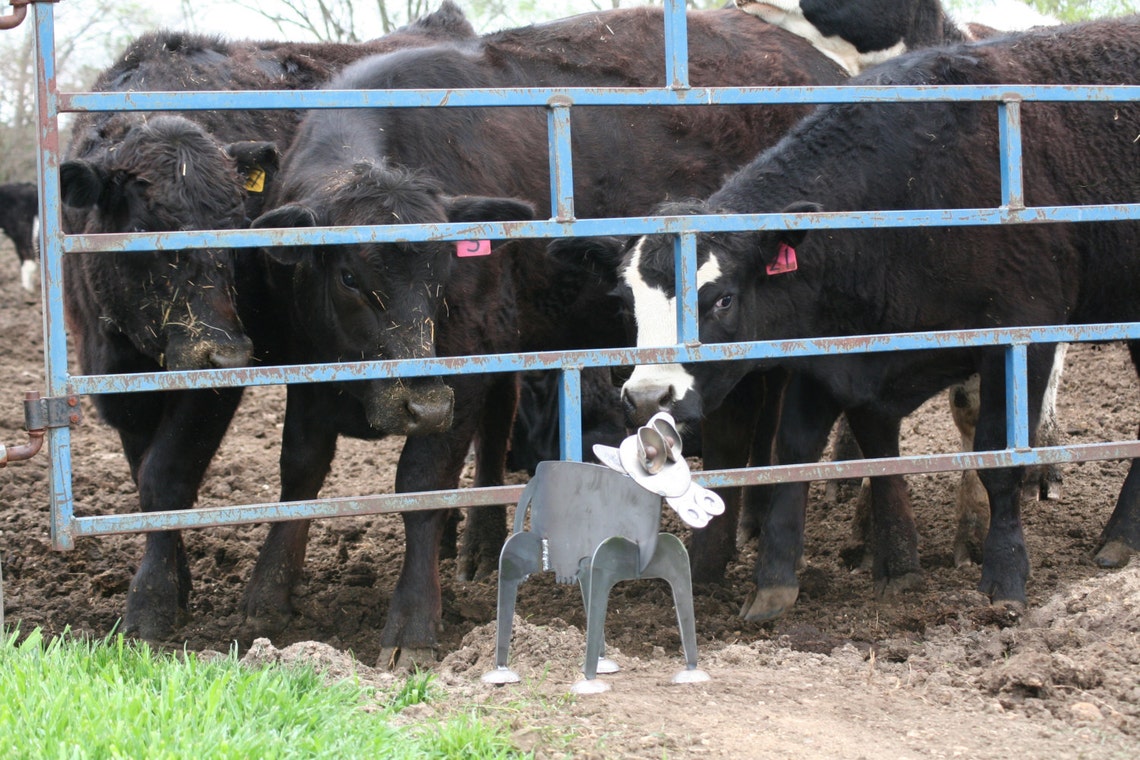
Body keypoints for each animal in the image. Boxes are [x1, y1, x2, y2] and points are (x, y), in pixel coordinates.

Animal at [59, 1, 478, 642]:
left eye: (239, 224)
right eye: (149, 225)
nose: (227, 351)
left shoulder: (212, 386)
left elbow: (166, 477)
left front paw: (150, 605)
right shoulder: (124, 391)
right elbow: (146, 480)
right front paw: (176, 583)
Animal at [248, 5, 850, 665]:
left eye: (443, 273)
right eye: (350, 276)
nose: (421, 403)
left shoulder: (464, 362)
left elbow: (422, 484)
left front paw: (412, 625)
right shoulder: (307, 368)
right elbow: (300, 469)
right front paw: (267, 593)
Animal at [615, 15, 1140, 621]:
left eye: (721, 299)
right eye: (631, 301)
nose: (647, 397)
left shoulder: (1022, 339)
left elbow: (999, 459)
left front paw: (1004, 576)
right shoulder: (839, 356)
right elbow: (810, 451)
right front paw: (792, 577)